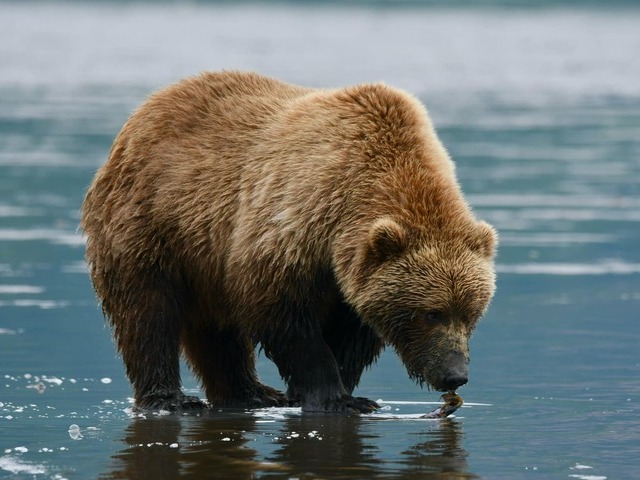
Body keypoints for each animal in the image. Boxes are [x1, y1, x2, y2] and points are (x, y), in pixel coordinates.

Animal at [80, 71, 498, 412]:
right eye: (431, 313)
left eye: (471, 313)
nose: (455, 374)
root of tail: (144, 111)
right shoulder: (295, 223)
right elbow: (283, 314)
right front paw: (333, 397)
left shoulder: (351, 271)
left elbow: (353, 332)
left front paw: (337, 388)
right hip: (151, 223)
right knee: (147, 314)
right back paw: (172, 399)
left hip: (205, 256)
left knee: (216, 330)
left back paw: (251, 393)